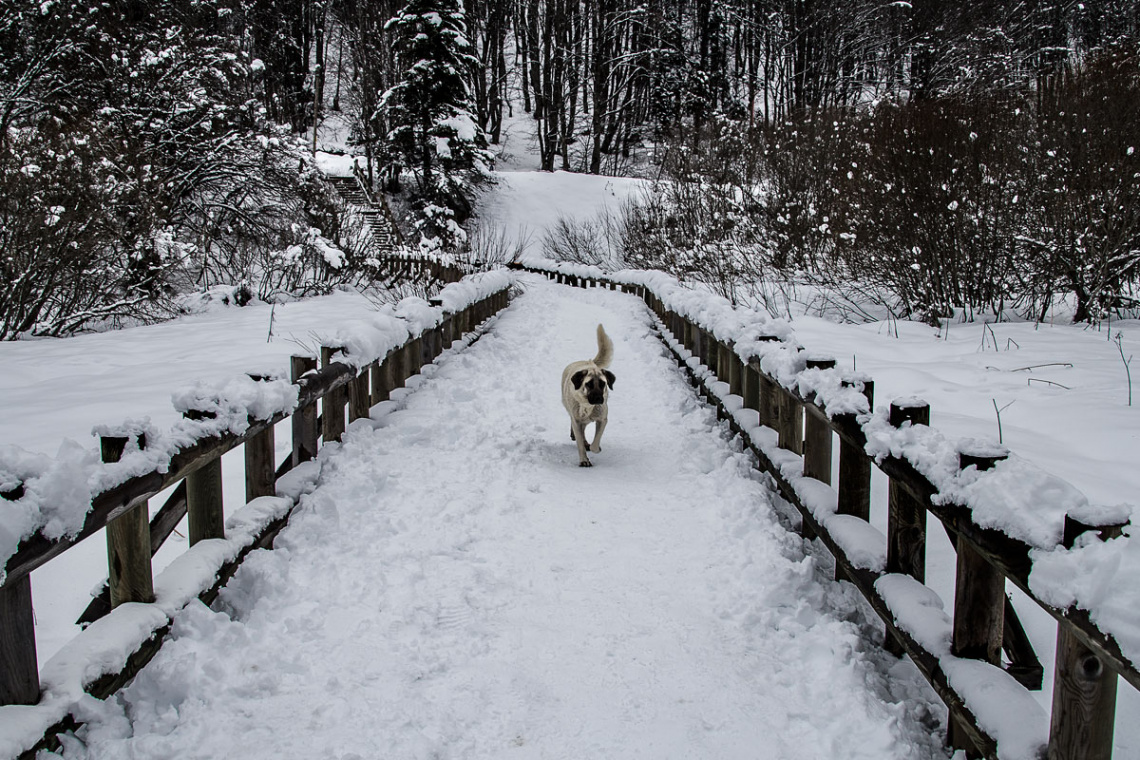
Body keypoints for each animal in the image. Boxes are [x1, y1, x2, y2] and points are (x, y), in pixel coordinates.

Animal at [560, 323, 615, 467]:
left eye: (603, 384)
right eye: (589, 384)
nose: (598, 398)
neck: (587, 406)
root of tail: (588, 361)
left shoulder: (602, 419)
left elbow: (596, 442)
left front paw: (595, 448)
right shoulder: (576, 420)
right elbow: (579, 442)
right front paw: (584, 460)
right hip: (570, 409)